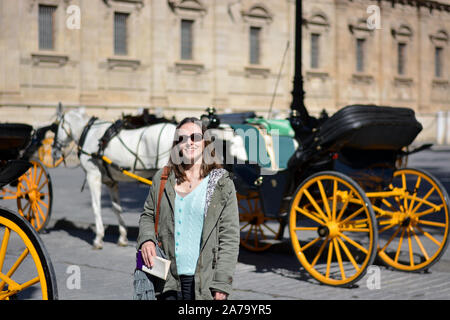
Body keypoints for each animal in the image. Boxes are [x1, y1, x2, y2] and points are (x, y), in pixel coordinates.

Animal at [53, 107, 177, 250]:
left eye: (56, 126)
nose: (54, 150)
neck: (90, 133)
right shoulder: (111, 182)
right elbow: (116, 208)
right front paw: (122, 237)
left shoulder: (92, 175)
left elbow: (96, 206)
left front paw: (98, 237)